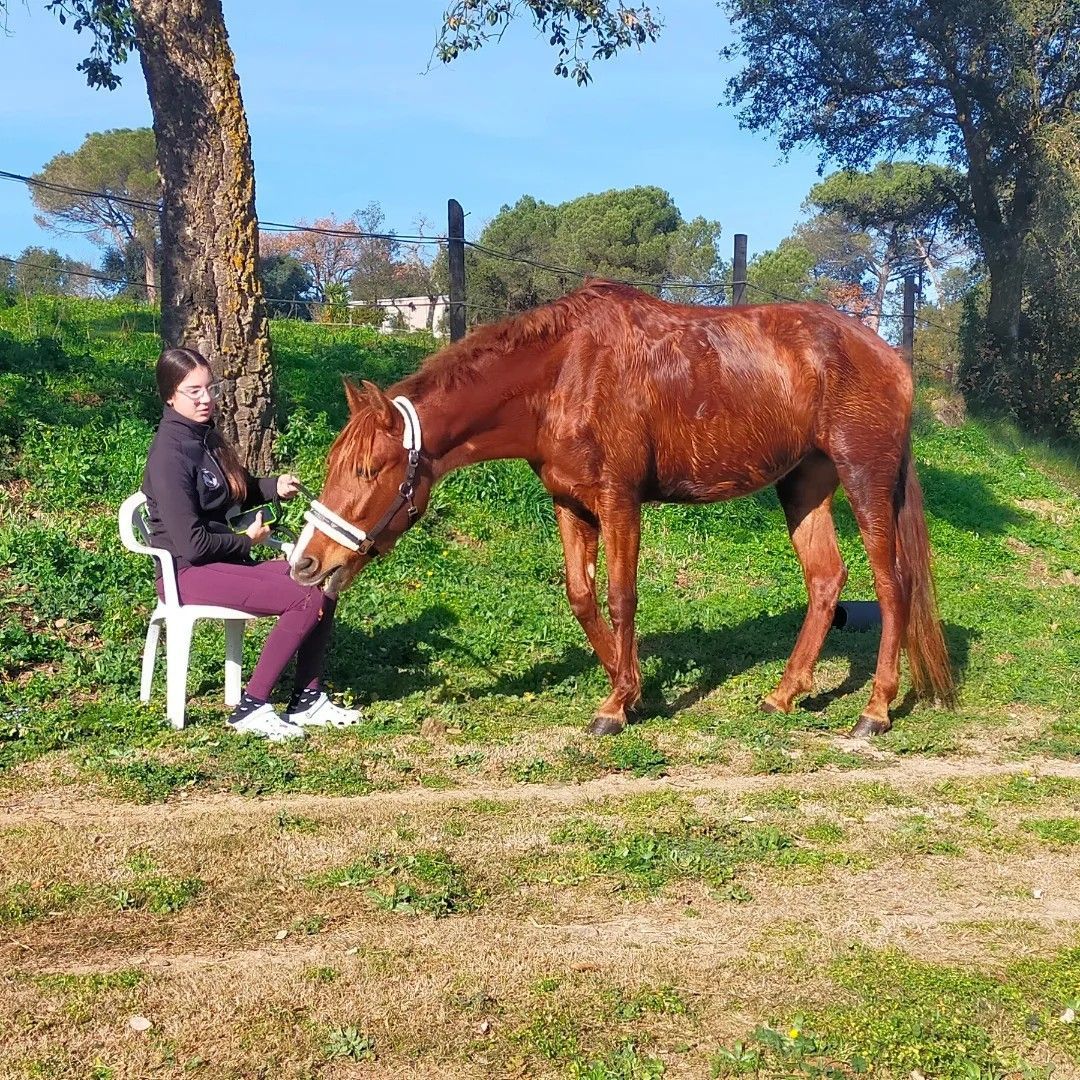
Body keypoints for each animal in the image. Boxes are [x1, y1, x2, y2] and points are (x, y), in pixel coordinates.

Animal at [289, 279, 955, 737]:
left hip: (865, 479)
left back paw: (875, 711)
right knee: (825, 579)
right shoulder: (569, 503)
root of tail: (894, 359)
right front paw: (630, 692)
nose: (306, 563)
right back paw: (783, 694)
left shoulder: (619, 500)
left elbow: (620, 596)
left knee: (892, 585)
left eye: (368, 471)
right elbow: (582, 597)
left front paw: (616, 705)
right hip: (804, 485)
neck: (563, 373)